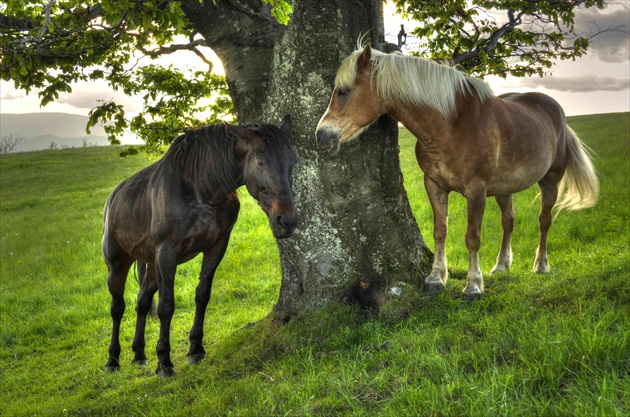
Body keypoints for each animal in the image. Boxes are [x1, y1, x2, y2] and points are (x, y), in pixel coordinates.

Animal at [104, 115, 298, 376]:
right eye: (260, 163)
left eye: (292, 162)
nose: (286, 220)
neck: (201, 188)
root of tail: (113, 197)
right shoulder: (167, 254)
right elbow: (166, 305)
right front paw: (164, 361)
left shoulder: (216, 247)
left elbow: (202, 295)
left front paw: (195, 350)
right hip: (118, 264)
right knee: (117, 307)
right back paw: (113, 360)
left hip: (152, 267)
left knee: (142, 302)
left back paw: (139, 354)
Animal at [318, 44, 600, 300]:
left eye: (344, 91)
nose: (322, 136)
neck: (451, 125)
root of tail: (556, 111)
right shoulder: (434, 184)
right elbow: (439, 231)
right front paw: (435, 279)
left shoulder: (476, 190)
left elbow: (472, 237)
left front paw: (473, 285)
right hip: (504, 188)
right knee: (508, 221)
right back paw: (501, 265)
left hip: (550, 180)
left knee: (544, 220)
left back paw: (540, 265)